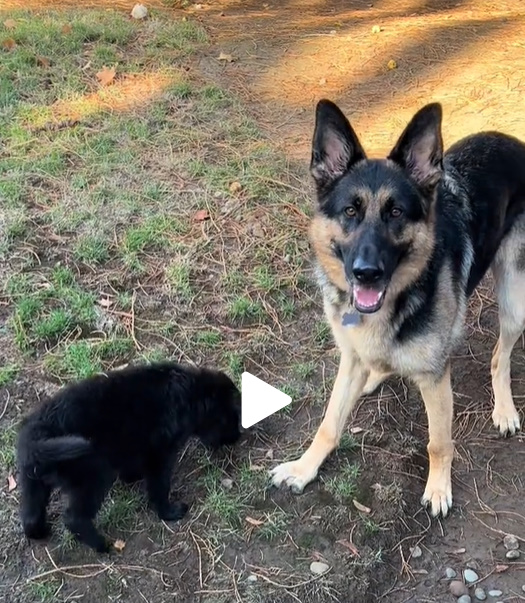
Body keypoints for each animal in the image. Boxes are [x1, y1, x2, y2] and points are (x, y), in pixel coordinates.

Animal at [15, 360, 242, 556]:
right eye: (234, 416)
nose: (237, 438)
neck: (190, 395)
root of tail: (36, 434)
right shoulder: (160, 453)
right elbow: (159, 487)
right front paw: (169, 512)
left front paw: (132, 477)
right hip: (95, 475)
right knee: (74, 517)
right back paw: (101, 545)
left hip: (32, 480)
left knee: (30, 516)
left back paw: (40, 532)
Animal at [270, 100, 524, 520]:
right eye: (350, 211)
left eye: (396, 213)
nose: (366, 272)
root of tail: (512, 141)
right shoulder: (350, 359)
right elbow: (329, 422)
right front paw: (304, 468)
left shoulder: (435, 381)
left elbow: (438, 442)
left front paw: (438, 488)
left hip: (514, 303)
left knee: (499, 357)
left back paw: (504, 408)